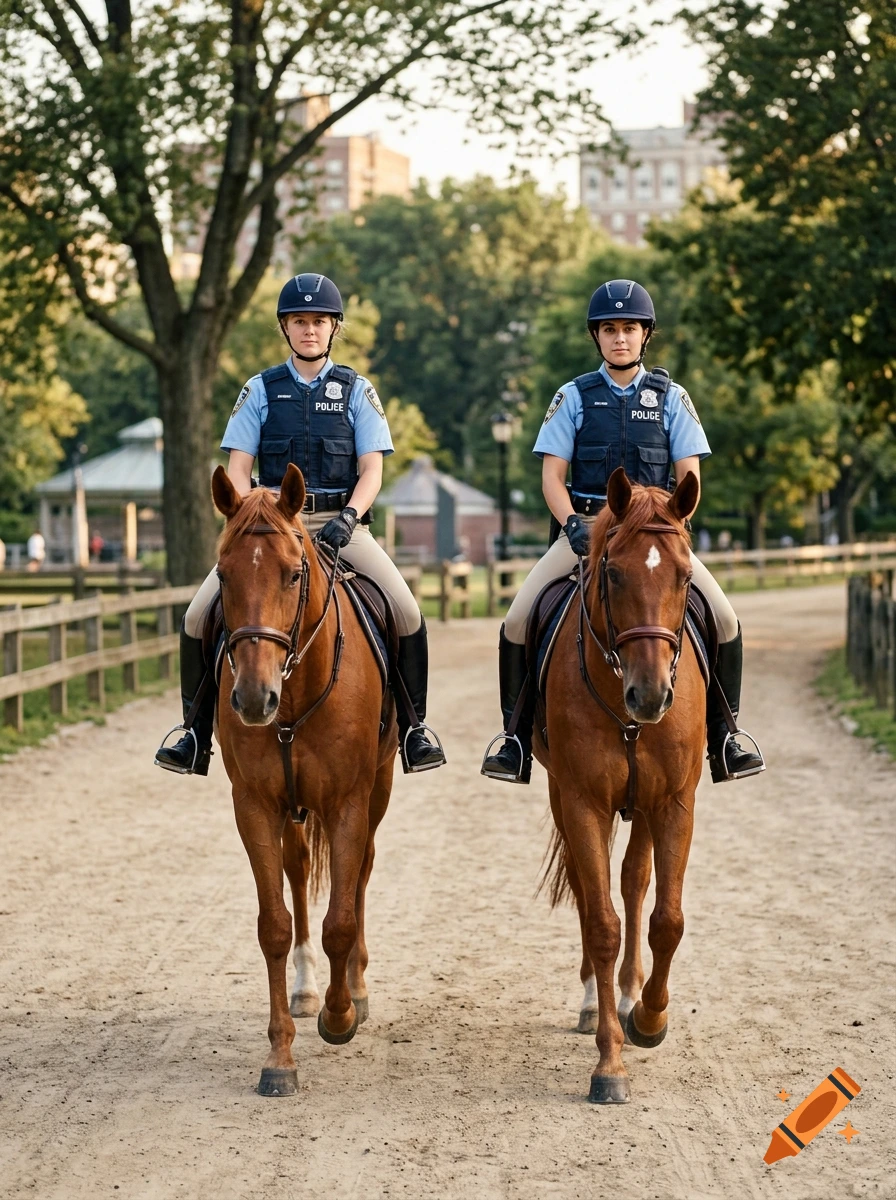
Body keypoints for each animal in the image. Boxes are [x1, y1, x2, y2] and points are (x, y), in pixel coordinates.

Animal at [211, 463, 398, 1096]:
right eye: (223, 573)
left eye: (294, 574)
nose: (252, 698)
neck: (292, 696)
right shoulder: (254, 806)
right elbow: (274, 924)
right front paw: (280, 1057)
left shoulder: (348, 803)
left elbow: (340, 916)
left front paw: (340, 1017)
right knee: (297, 872)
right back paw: (306, 988)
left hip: (377, 792)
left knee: (361, 875)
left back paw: (354, 991)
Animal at [537, 466, 704, 1104]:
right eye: (612, 572)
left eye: (685, 574)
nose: (650, 695)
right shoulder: (583, 801)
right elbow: (601, 922)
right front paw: (609, 1061)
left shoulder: (675, 802)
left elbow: (667, 919)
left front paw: (650, 1019)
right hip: (566, 798)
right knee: (595, 896)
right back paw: (596, 1001)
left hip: (645, 807)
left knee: (634, 881)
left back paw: (633, 996)